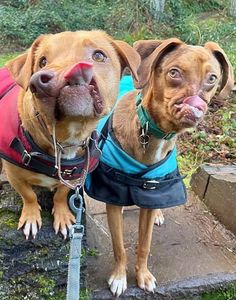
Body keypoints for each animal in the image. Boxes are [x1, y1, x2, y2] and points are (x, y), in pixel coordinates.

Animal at [0, 31, 140, 239]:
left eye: (99, 55)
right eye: (42, 61)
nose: (43, 80)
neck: (64, 137)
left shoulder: (75, 177)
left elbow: (61, 194)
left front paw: (63, 214)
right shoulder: (14, 175)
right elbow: (29, 195)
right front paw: (31, 215)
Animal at [85, 37, 233, 296]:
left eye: (212, 78)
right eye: (174, 73)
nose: (194, 108)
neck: (151, 132)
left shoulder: (153, 191)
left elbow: (145, 244)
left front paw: (143, 275)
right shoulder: (113, 192)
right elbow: (119, 245)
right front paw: (119, 277)